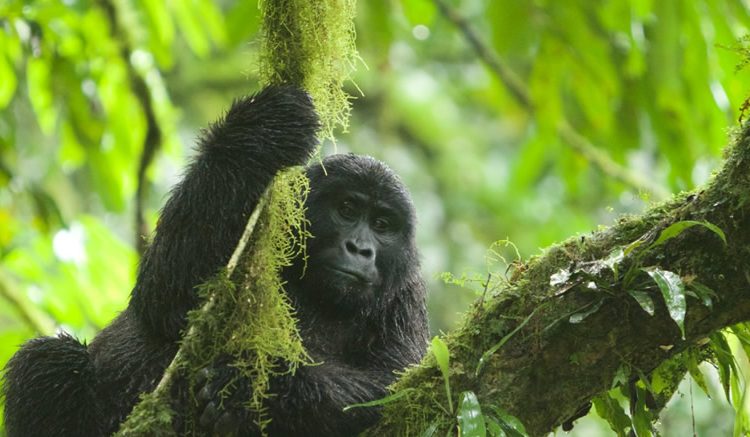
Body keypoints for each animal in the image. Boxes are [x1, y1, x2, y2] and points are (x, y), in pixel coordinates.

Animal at [1, 86, 428, 436]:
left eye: (382, 225)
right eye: (347, 209)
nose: (360, 248)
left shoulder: (407, 297)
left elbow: (393, 387)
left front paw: (259, 391)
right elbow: (167, 296)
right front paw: (258, 132)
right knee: (45, 359)